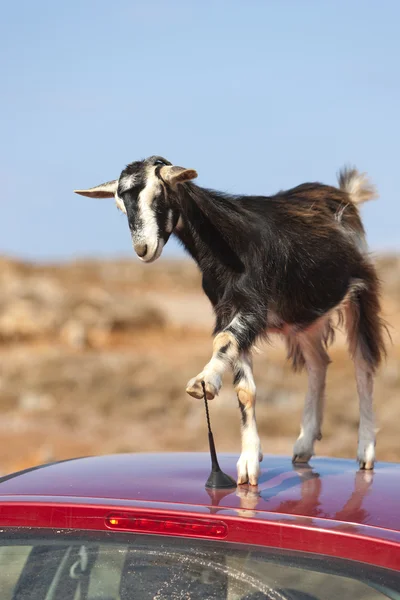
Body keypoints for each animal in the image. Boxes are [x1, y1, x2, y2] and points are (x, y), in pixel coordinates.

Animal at [74, 156, 384, 488]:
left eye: (159, 195)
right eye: (120, 205)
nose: (142, 249)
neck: (232, 243)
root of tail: (345, 196)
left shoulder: (252, 310)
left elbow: (223, 342)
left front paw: (204, 383)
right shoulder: (228, 310)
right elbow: (244, 389)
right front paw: (249, 462)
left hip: (359, 293)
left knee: (363, 365)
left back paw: (366, 451)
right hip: (304, 317)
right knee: (319, 363)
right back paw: (304, 444)